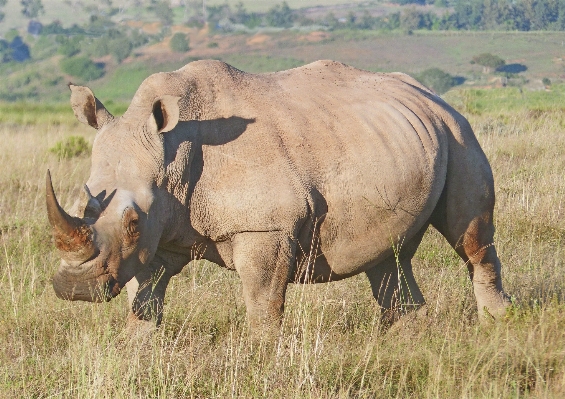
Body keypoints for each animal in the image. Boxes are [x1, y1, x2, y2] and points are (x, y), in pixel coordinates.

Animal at [46, 60, 508, 334]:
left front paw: (260, 360)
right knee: (388, 259)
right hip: (404, 139)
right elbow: (144, 299)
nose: (75, 290)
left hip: (459, 133)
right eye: (86, 206)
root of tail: (432, 96)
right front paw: (139, 350)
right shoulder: (160, 234)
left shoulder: (264, 228)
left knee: (471, 239)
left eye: (132, 223)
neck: (172, 155)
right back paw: (406, 340)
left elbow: (262, 304)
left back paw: (498, 326)